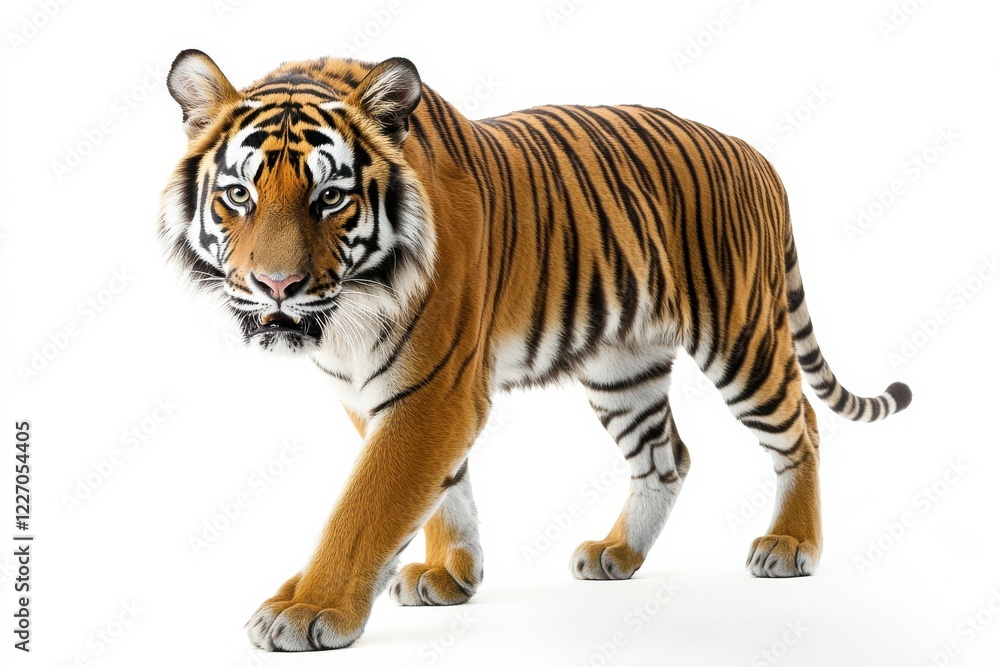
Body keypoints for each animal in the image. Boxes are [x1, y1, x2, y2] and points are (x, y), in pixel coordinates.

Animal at [158, 50, 912, 652]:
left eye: (331, 197)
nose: (275, 286)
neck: (346, 315)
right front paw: (451, 574)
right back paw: (618, 552)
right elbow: (441, 490)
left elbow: (366, 504)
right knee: (667, 455)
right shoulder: (380, 395)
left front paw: (309, 608)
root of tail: (755, 154)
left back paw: (791, 544)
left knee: (801, 426)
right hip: (622, 366)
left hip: (741, 333)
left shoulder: (432, 391)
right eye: (238, 195)